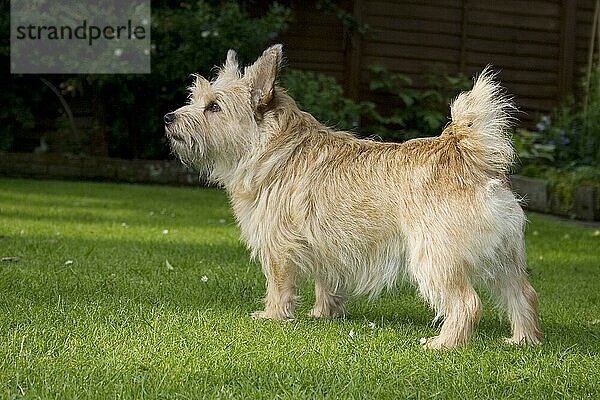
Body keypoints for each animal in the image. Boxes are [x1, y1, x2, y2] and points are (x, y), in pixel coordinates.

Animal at [165, 44, 544, 350]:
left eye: (213, 107)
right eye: (195, 99)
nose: (168, 117)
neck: (274, 148)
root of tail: (467, 153)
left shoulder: (278, 246)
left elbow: (279, 284)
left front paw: (272, 316)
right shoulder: (326, 245)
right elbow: (326, 283)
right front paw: (323, 314)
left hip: (436, 258)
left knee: (467, 303)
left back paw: (445, 343)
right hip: (505, 259)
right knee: (523, 294)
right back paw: (522, 340)